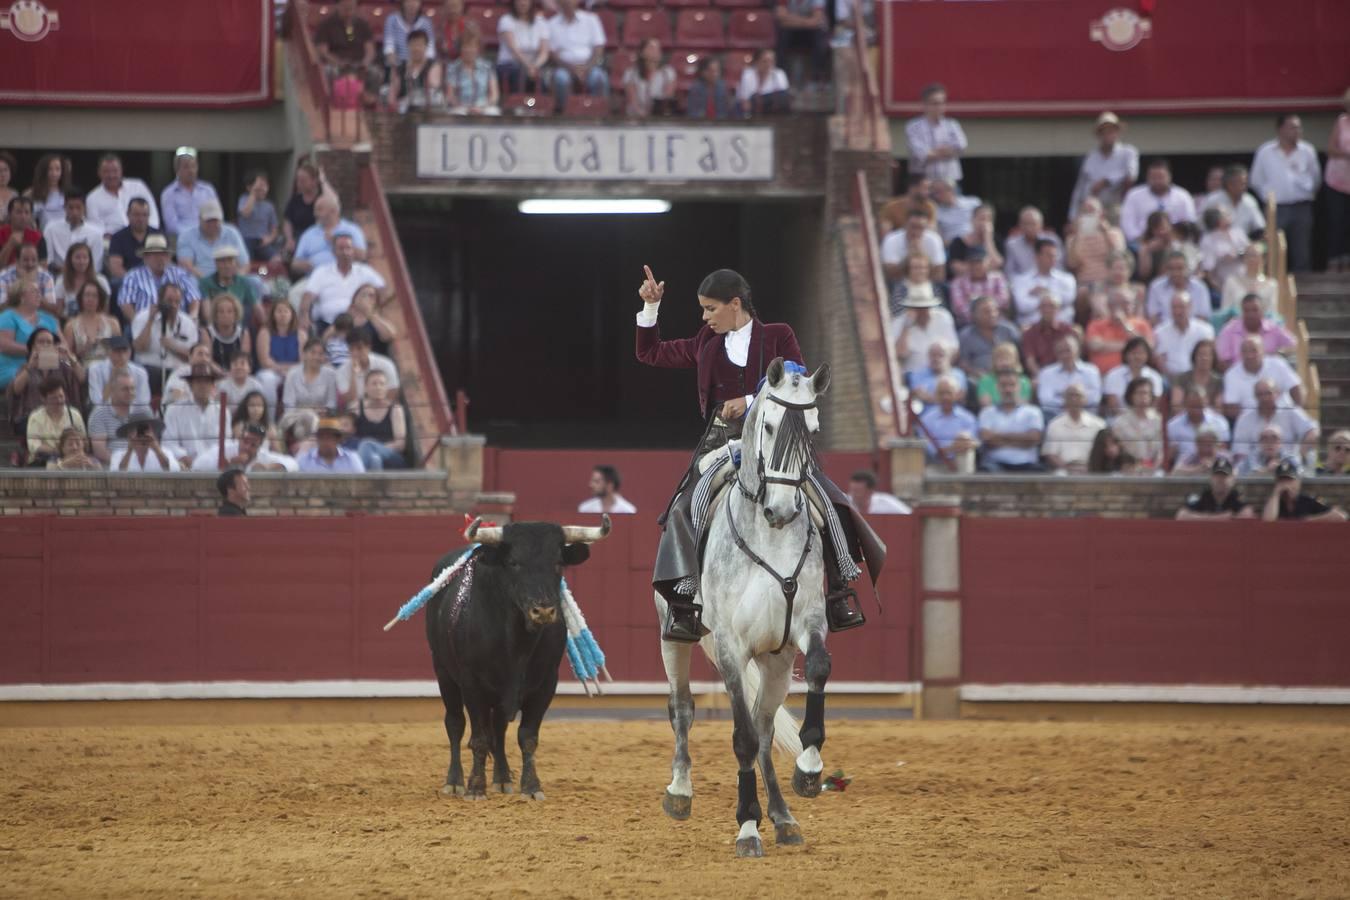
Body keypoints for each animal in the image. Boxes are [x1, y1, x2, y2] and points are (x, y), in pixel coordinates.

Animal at [426, 518, 612, 798]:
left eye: (558, 562)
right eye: (514, 562)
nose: (543, 611)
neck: (517, 643)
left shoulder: (546, 684)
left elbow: (527, 737)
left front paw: (532, 787)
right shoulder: (472, 684)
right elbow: (478, 737)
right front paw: (475, 788)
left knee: (499, 729)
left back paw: (502, 780)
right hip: (443, 672)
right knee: (455, 723)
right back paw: (454, 782)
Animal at [656, 358, 831, 858]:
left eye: (814, 431)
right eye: (769, 426)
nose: (781, 510)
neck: (769, 536)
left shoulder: (806, 625)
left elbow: (818, 669)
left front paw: (809, 770)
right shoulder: (731, 646)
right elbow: (741, 738)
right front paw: (747, 827)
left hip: (776, 662)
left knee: (766, 725)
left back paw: (784, 818)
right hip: (672, 635)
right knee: (682, 706)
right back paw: (680, 792)